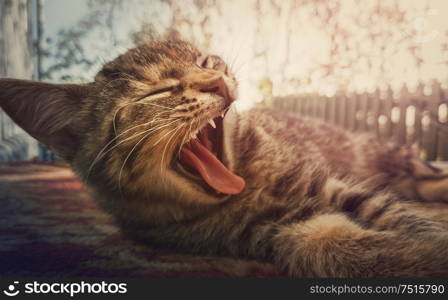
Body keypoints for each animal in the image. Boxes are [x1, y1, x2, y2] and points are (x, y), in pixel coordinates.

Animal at [0, 39, 448, 276]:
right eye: (157, 92)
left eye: (204, 61)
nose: (217, 81)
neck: (247, 184)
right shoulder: (277, 230)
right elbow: (331, 244)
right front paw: (420, 259)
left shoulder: (329, 185)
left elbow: (399, 217)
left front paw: (431, 243)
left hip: (386, 154)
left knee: (424, 174)